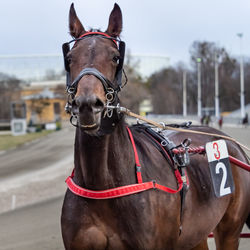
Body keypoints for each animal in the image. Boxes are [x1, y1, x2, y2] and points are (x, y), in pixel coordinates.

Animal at [61, 2, 250, 249]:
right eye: (70, 58)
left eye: (115, 57)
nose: (88, 105)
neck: (103, 185)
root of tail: (230, 142)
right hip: (196, 233)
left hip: (230, 228)